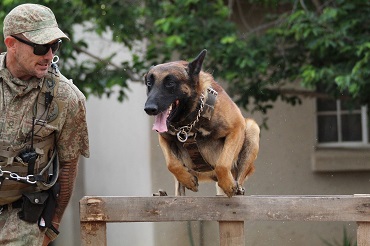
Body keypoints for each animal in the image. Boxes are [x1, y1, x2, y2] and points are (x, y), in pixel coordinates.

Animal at [145, 49, 260, 197]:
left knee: (238, 177)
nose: (149, 109)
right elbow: (171, 164)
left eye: (170, 83)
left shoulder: (236, 128)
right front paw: (188, 180)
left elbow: (222, 164)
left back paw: (237, 189)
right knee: (179, 190)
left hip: (252, 128)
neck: (189, 122)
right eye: (149, 83)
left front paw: (228, 184)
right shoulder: (164, 138)